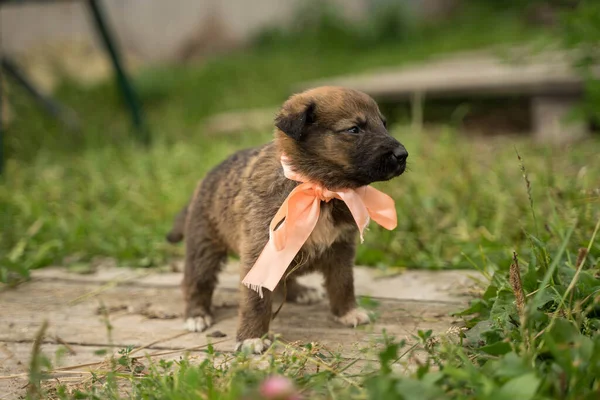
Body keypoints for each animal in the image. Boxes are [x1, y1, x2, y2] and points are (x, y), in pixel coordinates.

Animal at [166, 85, 408, 354]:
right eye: (354, 129)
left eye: (383, 124)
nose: (403, 155)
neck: (319, 189)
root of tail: (205, 179)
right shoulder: (259, 250)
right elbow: (256, 299)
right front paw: (251, 337)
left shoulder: (341, 248)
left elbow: (343, 283)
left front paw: (347, 312)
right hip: (204, 247)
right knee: (196, 282)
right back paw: (196, 314)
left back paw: (300, 292)